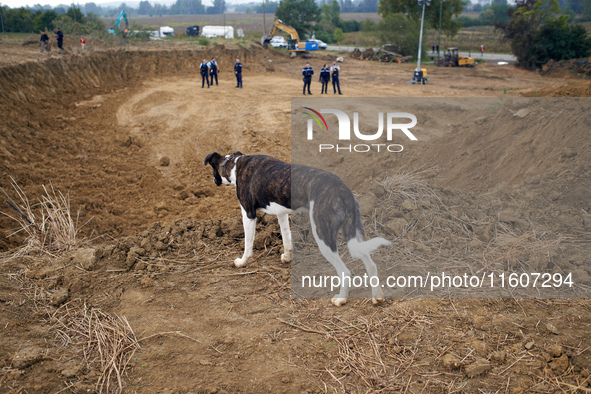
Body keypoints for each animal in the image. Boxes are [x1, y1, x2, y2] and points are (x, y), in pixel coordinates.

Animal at [206, 152, 390, 306]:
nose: (213, 181)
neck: (234, 163)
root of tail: (342, 190)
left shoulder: (248, 214)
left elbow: (248, 244)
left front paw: (242, 262)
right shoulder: (281, 214)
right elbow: (287, 239)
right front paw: (287, 257)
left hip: (322, 235)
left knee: (345, 271)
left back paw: (341, 299)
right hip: (355, 233)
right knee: (371, 264)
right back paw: (377, 297)